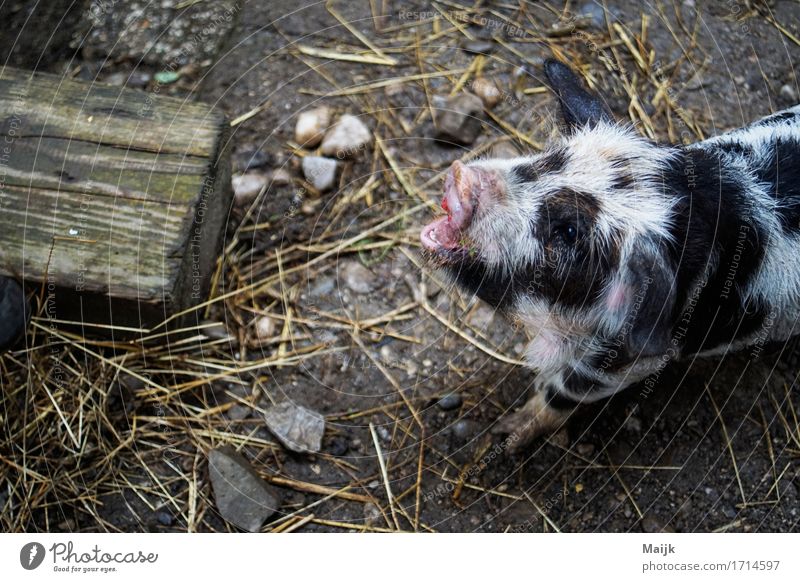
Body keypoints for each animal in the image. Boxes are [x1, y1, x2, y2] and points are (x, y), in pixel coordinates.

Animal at [418, 59, 800, 450]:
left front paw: (509, 433)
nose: (463, 178)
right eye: (551, 157)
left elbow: (566, 389)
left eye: (569, 233)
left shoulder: (633, 358)